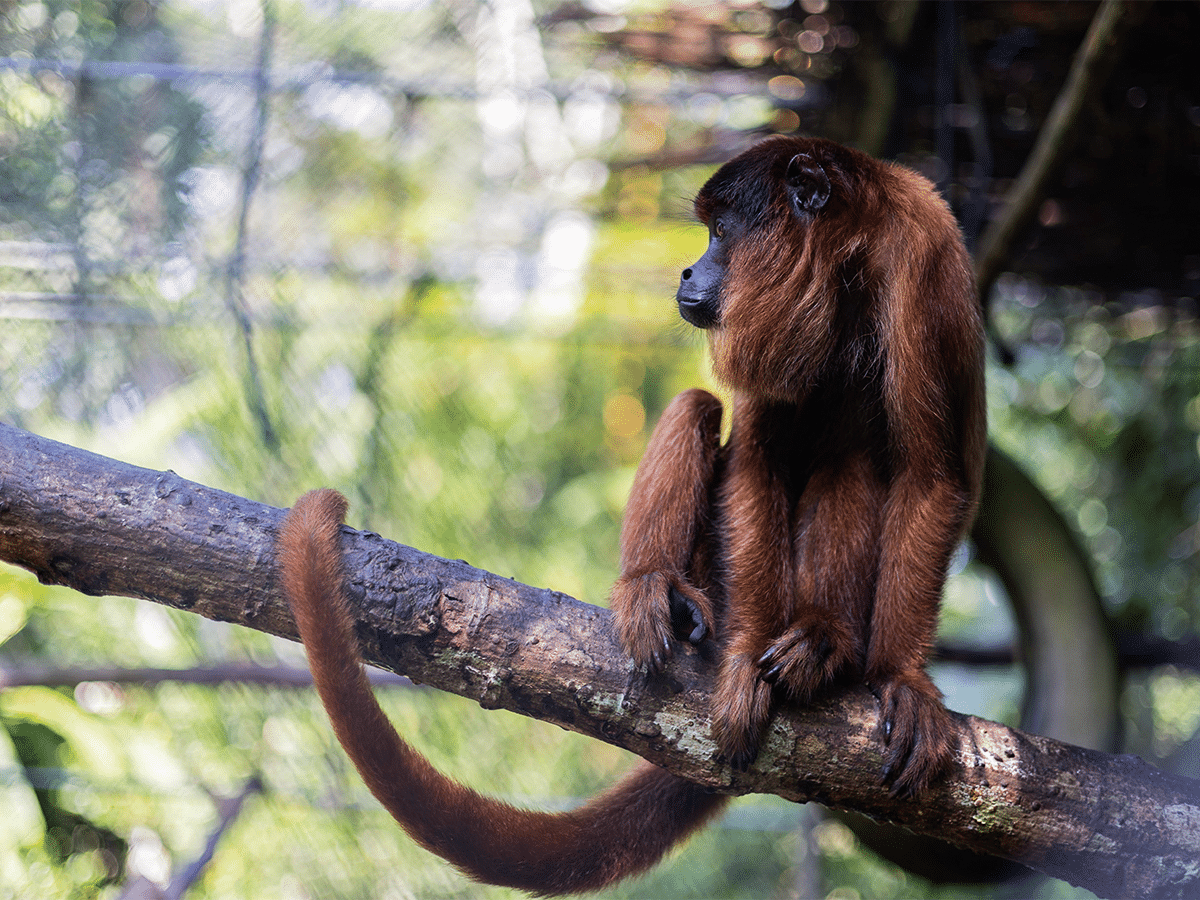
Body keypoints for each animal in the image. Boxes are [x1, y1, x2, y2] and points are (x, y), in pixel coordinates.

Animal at [277, 135, 987, 896]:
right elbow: (755, 457)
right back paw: (654, 587)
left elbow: (931, 477)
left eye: (720, 231)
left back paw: (824, 645)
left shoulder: (925, 269)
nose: (687, 268)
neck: (846, 268)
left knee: (848, 465)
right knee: (698, 406)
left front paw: (901, 679)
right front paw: (743, 657)